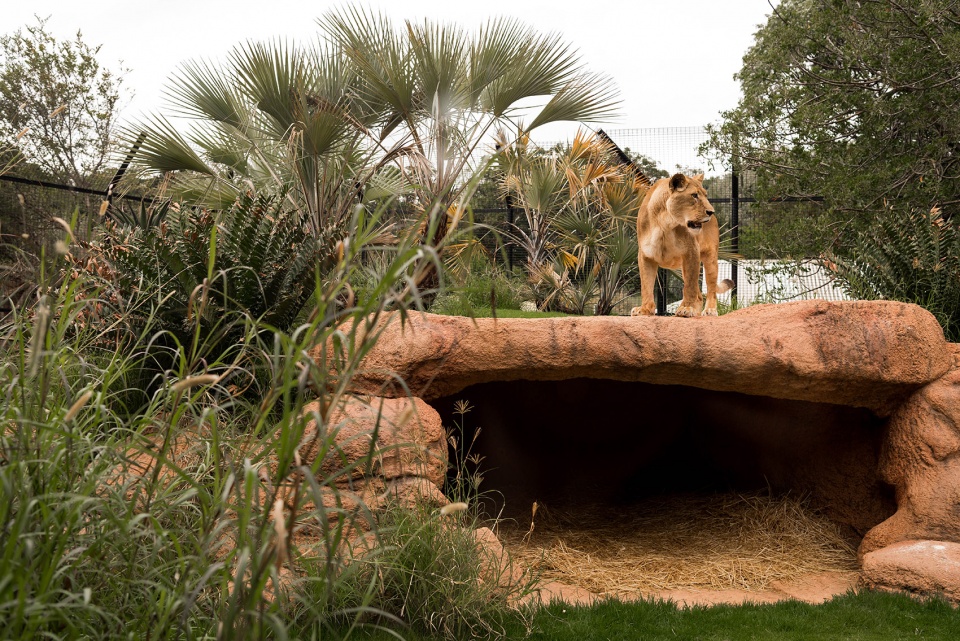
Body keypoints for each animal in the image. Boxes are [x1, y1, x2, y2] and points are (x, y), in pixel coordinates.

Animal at [630, 173, 734, 317]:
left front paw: (687, 308)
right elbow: (646, 285)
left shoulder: (691, 252)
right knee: (699, 295)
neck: (665, 224)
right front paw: (644, 309)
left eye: (705, 195)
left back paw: (709, 310)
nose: (711, 211)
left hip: (711, 258)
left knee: (711, 290)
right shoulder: (645, 255)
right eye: (694, 195)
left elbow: (689, 287)